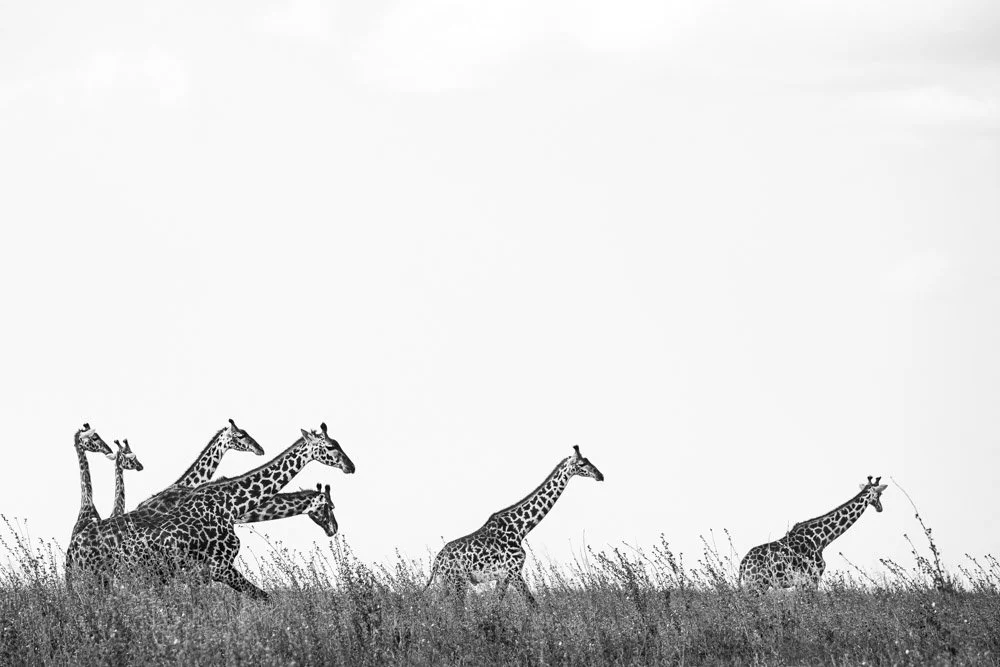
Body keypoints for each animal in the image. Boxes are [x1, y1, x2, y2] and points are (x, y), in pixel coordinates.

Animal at [426, 445, 604, 607]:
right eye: (581, 464)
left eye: (588, 460)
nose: (600, 475)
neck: (520, 529)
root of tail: (436, 562)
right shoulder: (514, 571)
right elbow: (532, 605)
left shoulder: (504, 576)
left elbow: (494, 607)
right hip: (457, 582)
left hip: (447, 583)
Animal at [739, 476, 889, 591]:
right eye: (880, 494)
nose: (880, 508)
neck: (822, 539)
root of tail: (743, 563)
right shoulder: (811, 578)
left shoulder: (804, 581)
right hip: (757, 584)